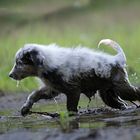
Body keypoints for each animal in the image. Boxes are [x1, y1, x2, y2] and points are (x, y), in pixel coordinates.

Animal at [9, 38, 140, 115]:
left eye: (19, 63)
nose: (10, 75)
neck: (49, 62)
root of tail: (117, 59)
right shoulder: (52, 89)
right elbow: (34, 95)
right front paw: (25, 108)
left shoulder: (73, 90)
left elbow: (71, 107)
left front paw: (71, 116)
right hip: (107, 93)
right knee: (120, 104)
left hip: (122, 88)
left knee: (136, 92)